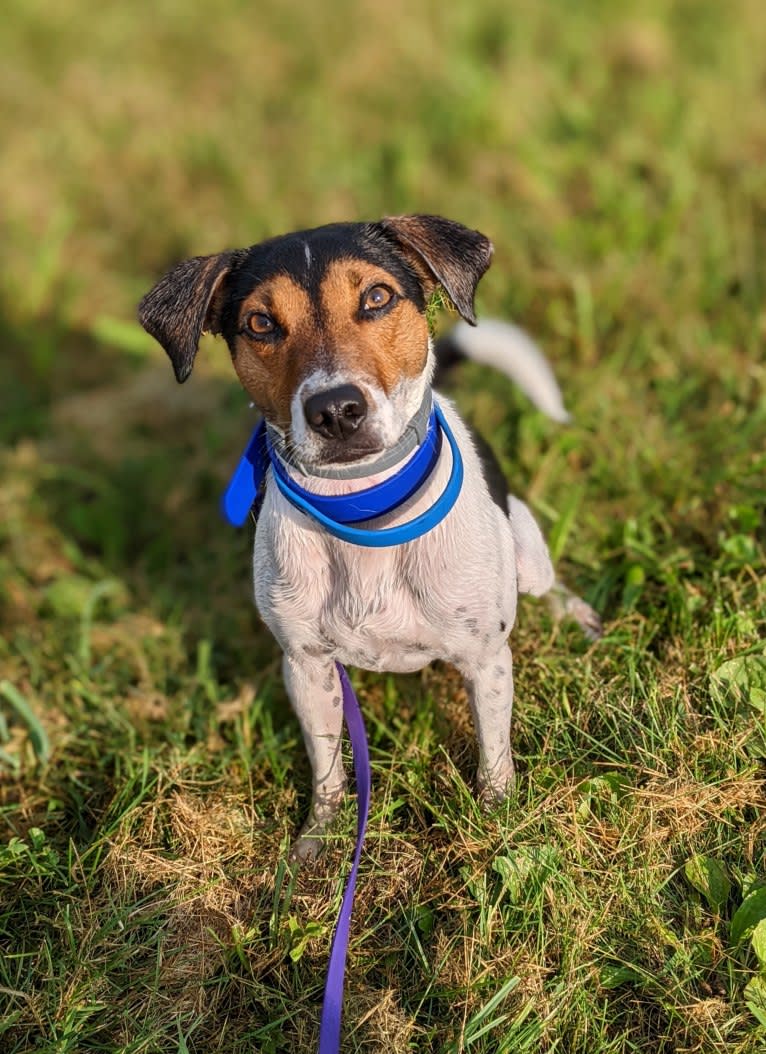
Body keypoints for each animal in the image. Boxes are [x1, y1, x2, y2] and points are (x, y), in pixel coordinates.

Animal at [141, 216, 602, 864]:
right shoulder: (307, 668)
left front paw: (498, 818)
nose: (335, 409)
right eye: (260, 323)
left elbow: (493, 754)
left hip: (527, 551)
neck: (362, 512)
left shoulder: (486, 660)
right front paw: (319, 842)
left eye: (378, 297)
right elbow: (328, 769)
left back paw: (576, 613)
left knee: (544, 583)